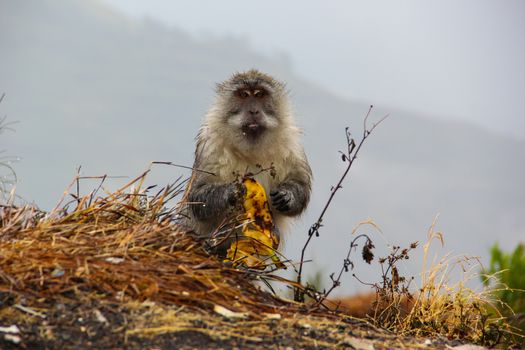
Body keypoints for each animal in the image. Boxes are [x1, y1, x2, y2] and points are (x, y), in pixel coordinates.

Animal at [181, 69, 312, 253]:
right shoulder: (210, 146)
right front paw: (232, 192)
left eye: (260, 94)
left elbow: (300, 184)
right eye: (243, 95)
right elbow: (197, 197)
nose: (253, 112)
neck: (251, 149)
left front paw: (288, 196)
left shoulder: (291, 144)